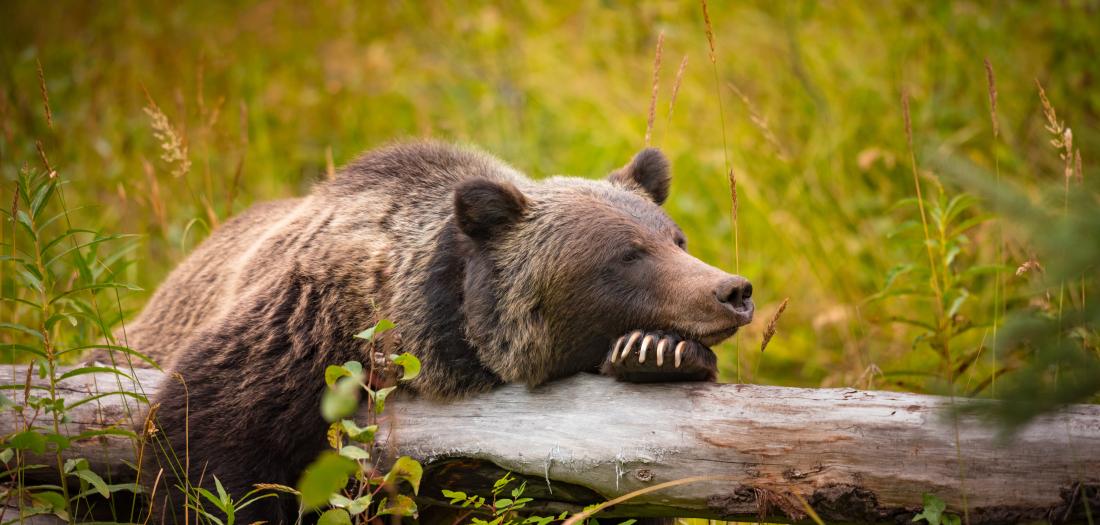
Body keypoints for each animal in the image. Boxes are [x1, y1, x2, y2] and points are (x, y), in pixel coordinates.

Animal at [124, 140, 752, 521]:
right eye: (627, 255)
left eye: (676, 239)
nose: (733, 291)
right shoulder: (304, 328)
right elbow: (204, 439)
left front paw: (657, 353)